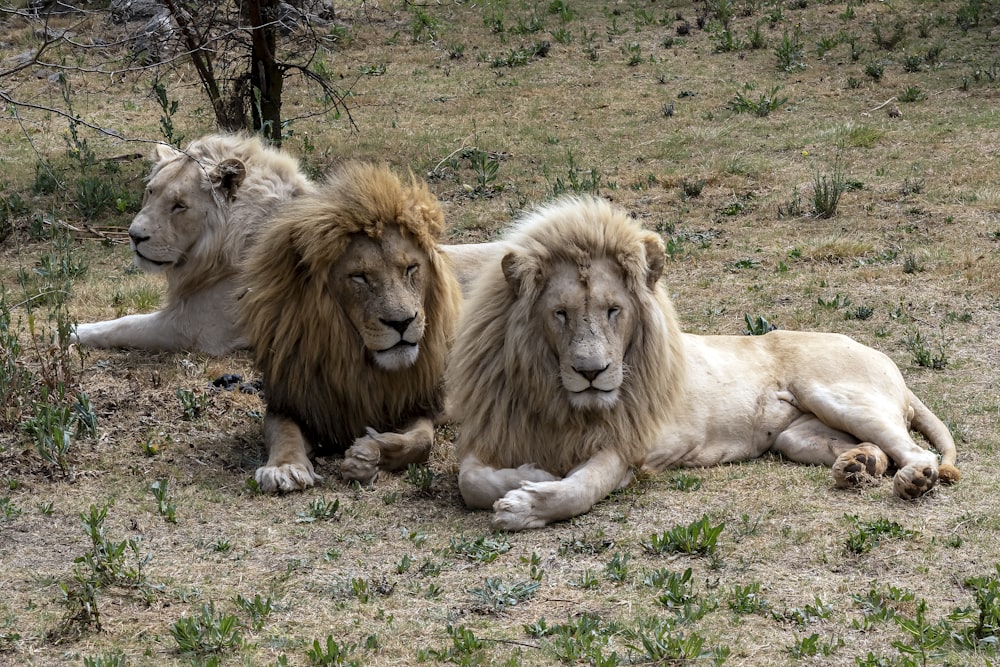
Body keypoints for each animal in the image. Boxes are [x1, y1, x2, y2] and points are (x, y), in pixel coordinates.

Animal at [73, 133, 314, 358]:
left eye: (179, 205)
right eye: (151, 191)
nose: (134, 236)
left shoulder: (198, 327)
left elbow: (124, 325)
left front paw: (70, 331)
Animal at [238, 162, 464, 496]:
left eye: (411, 268)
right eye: (360, 277)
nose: (402, 322)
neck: (359, 365)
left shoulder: (422, 404)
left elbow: (421, 441)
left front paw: (368, 452)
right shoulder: (292, 402)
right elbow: (284, 434)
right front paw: (285, 468)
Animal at [448, 196, 960, 528]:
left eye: (614, 310)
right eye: (560, 313)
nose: (591, 373)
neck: (557, 399)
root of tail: (880, 355)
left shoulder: (629, 446)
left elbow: (580, 488)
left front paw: (526, 504)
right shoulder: (495, 430)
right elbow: (470, 481)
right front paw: (532, 475)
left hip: (840, 396)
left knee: (918, 453)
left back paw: (913, 481)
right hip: (796, 437)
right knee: (877, 452)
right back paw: (856, 467)